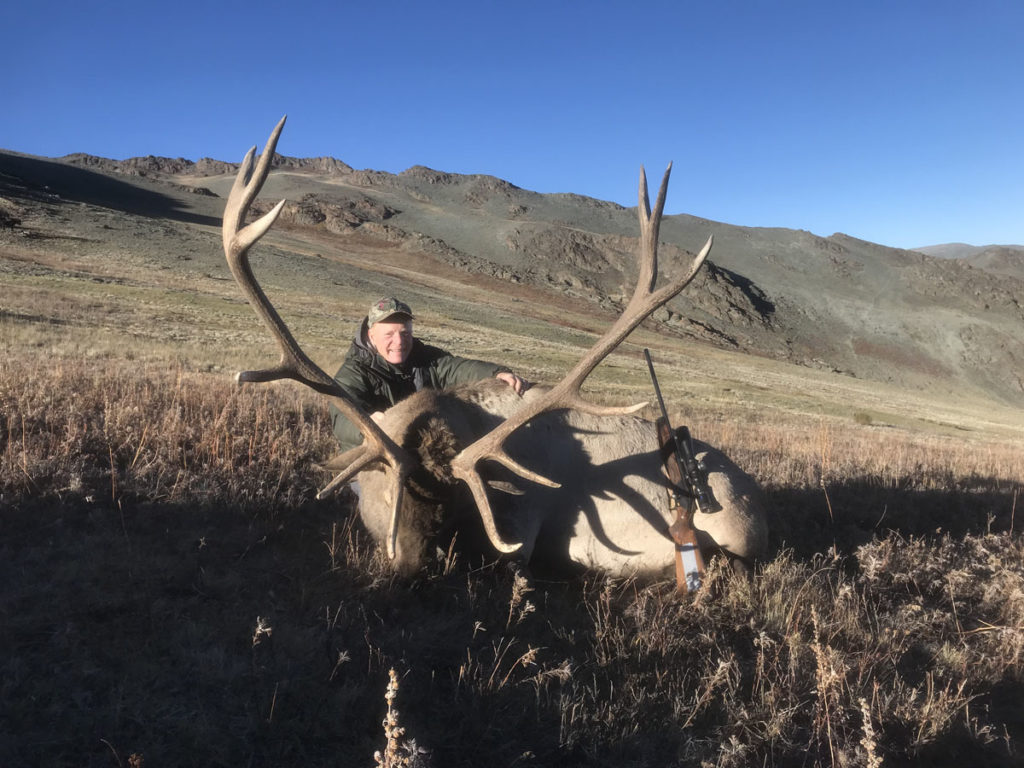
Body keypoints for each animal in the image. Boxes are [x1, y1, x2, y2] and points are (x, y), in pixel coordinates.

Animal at [222, 117, 768, 579]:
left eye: (443, 510)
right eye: (391, 499)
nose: (409, 569)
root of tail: (758, 498)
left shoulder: (518, 526)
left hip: (730, 534)